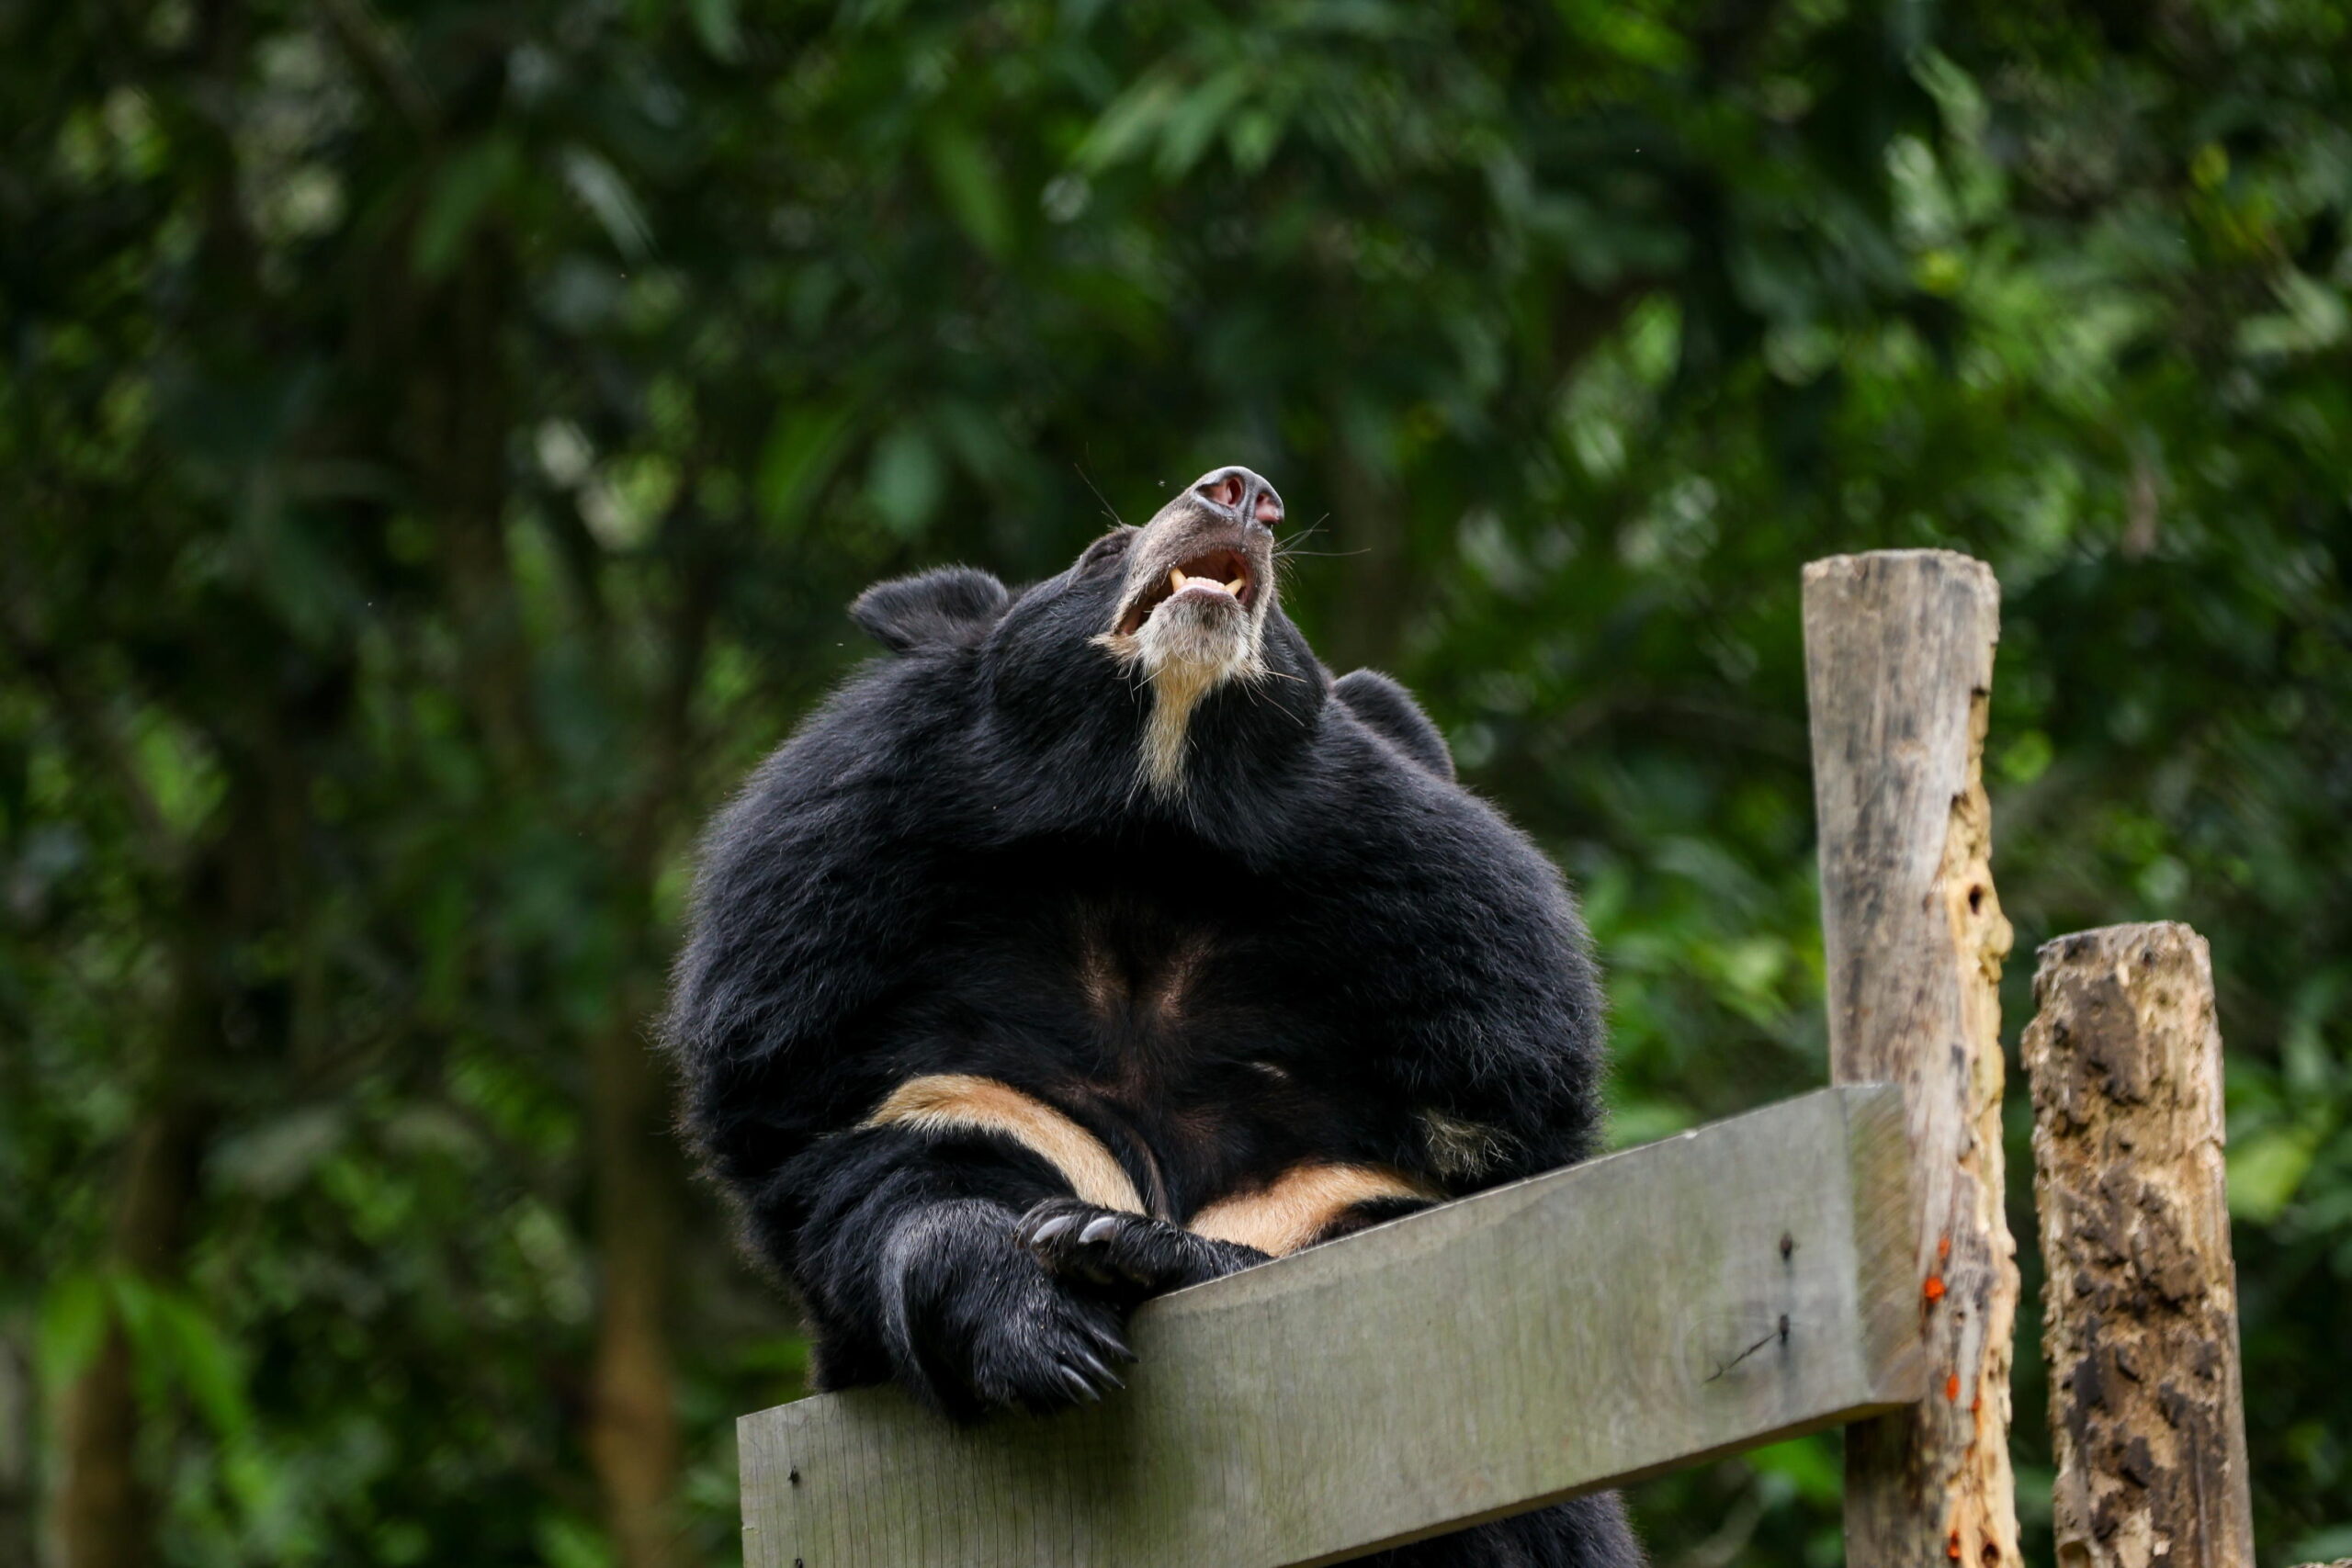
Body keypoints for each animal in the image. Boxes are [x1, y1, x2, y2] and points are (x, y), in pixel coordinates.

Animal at [664, 465, 1642, 1567]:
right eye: (1100, 551)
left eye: (1288, 621)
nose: (1242, 493)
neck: (1151, 845)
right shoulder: (848, 1002)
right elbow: (896, 1190)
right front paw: (1039, 1323)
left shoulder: (1446, 1046)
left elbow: (1380, 1254)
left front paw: (1121, 1242)